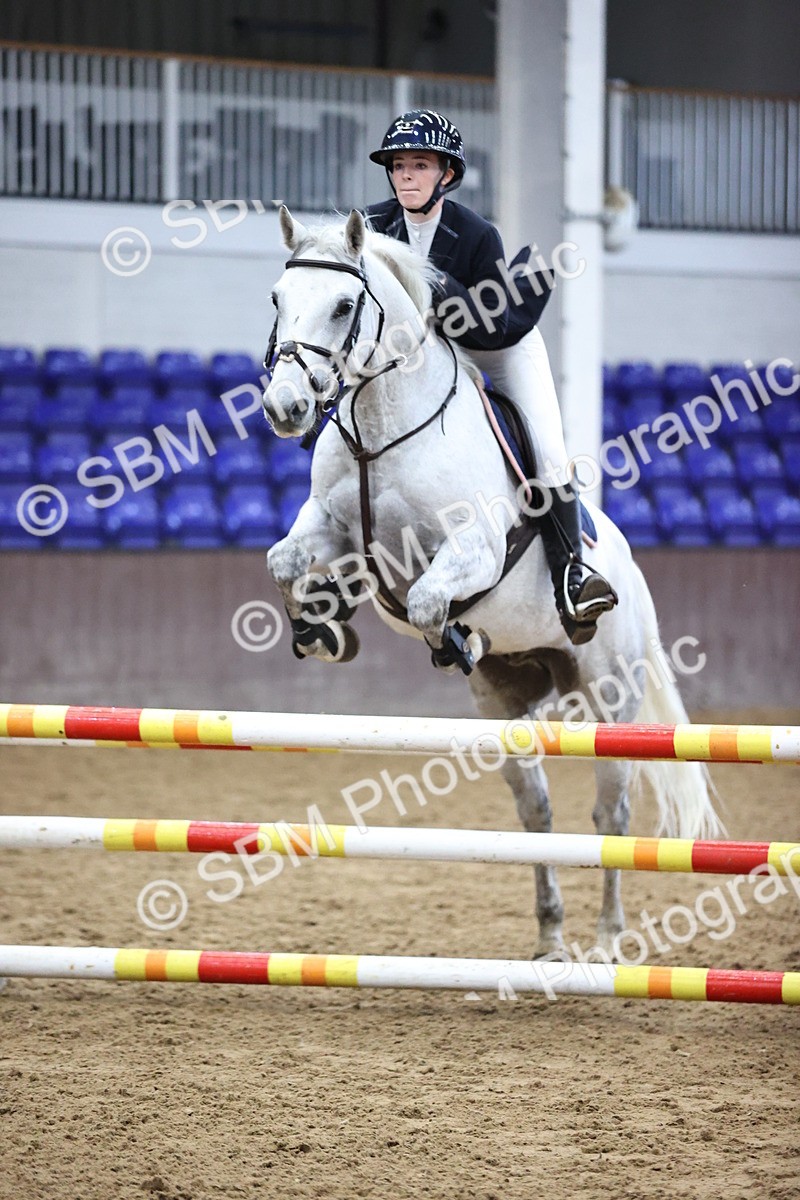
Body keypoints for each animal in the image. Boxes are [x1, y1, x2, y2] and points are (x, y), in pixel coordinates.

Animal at [262, 206, 722, 960]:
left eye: (343, 305)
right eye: (277, 299)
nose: (286, 408)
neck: (382, 426)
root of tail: (630, 571)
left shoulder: (471, 548)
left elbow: (426, 598)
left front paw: (451, 635)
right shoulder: (334, 531)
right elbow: (285, 562)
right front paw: (318, 624)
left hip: (611, 697)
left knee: (613, 813)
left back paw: (608, 939)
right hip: (506, 706)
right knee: (536, 811)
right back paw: (550, 938)